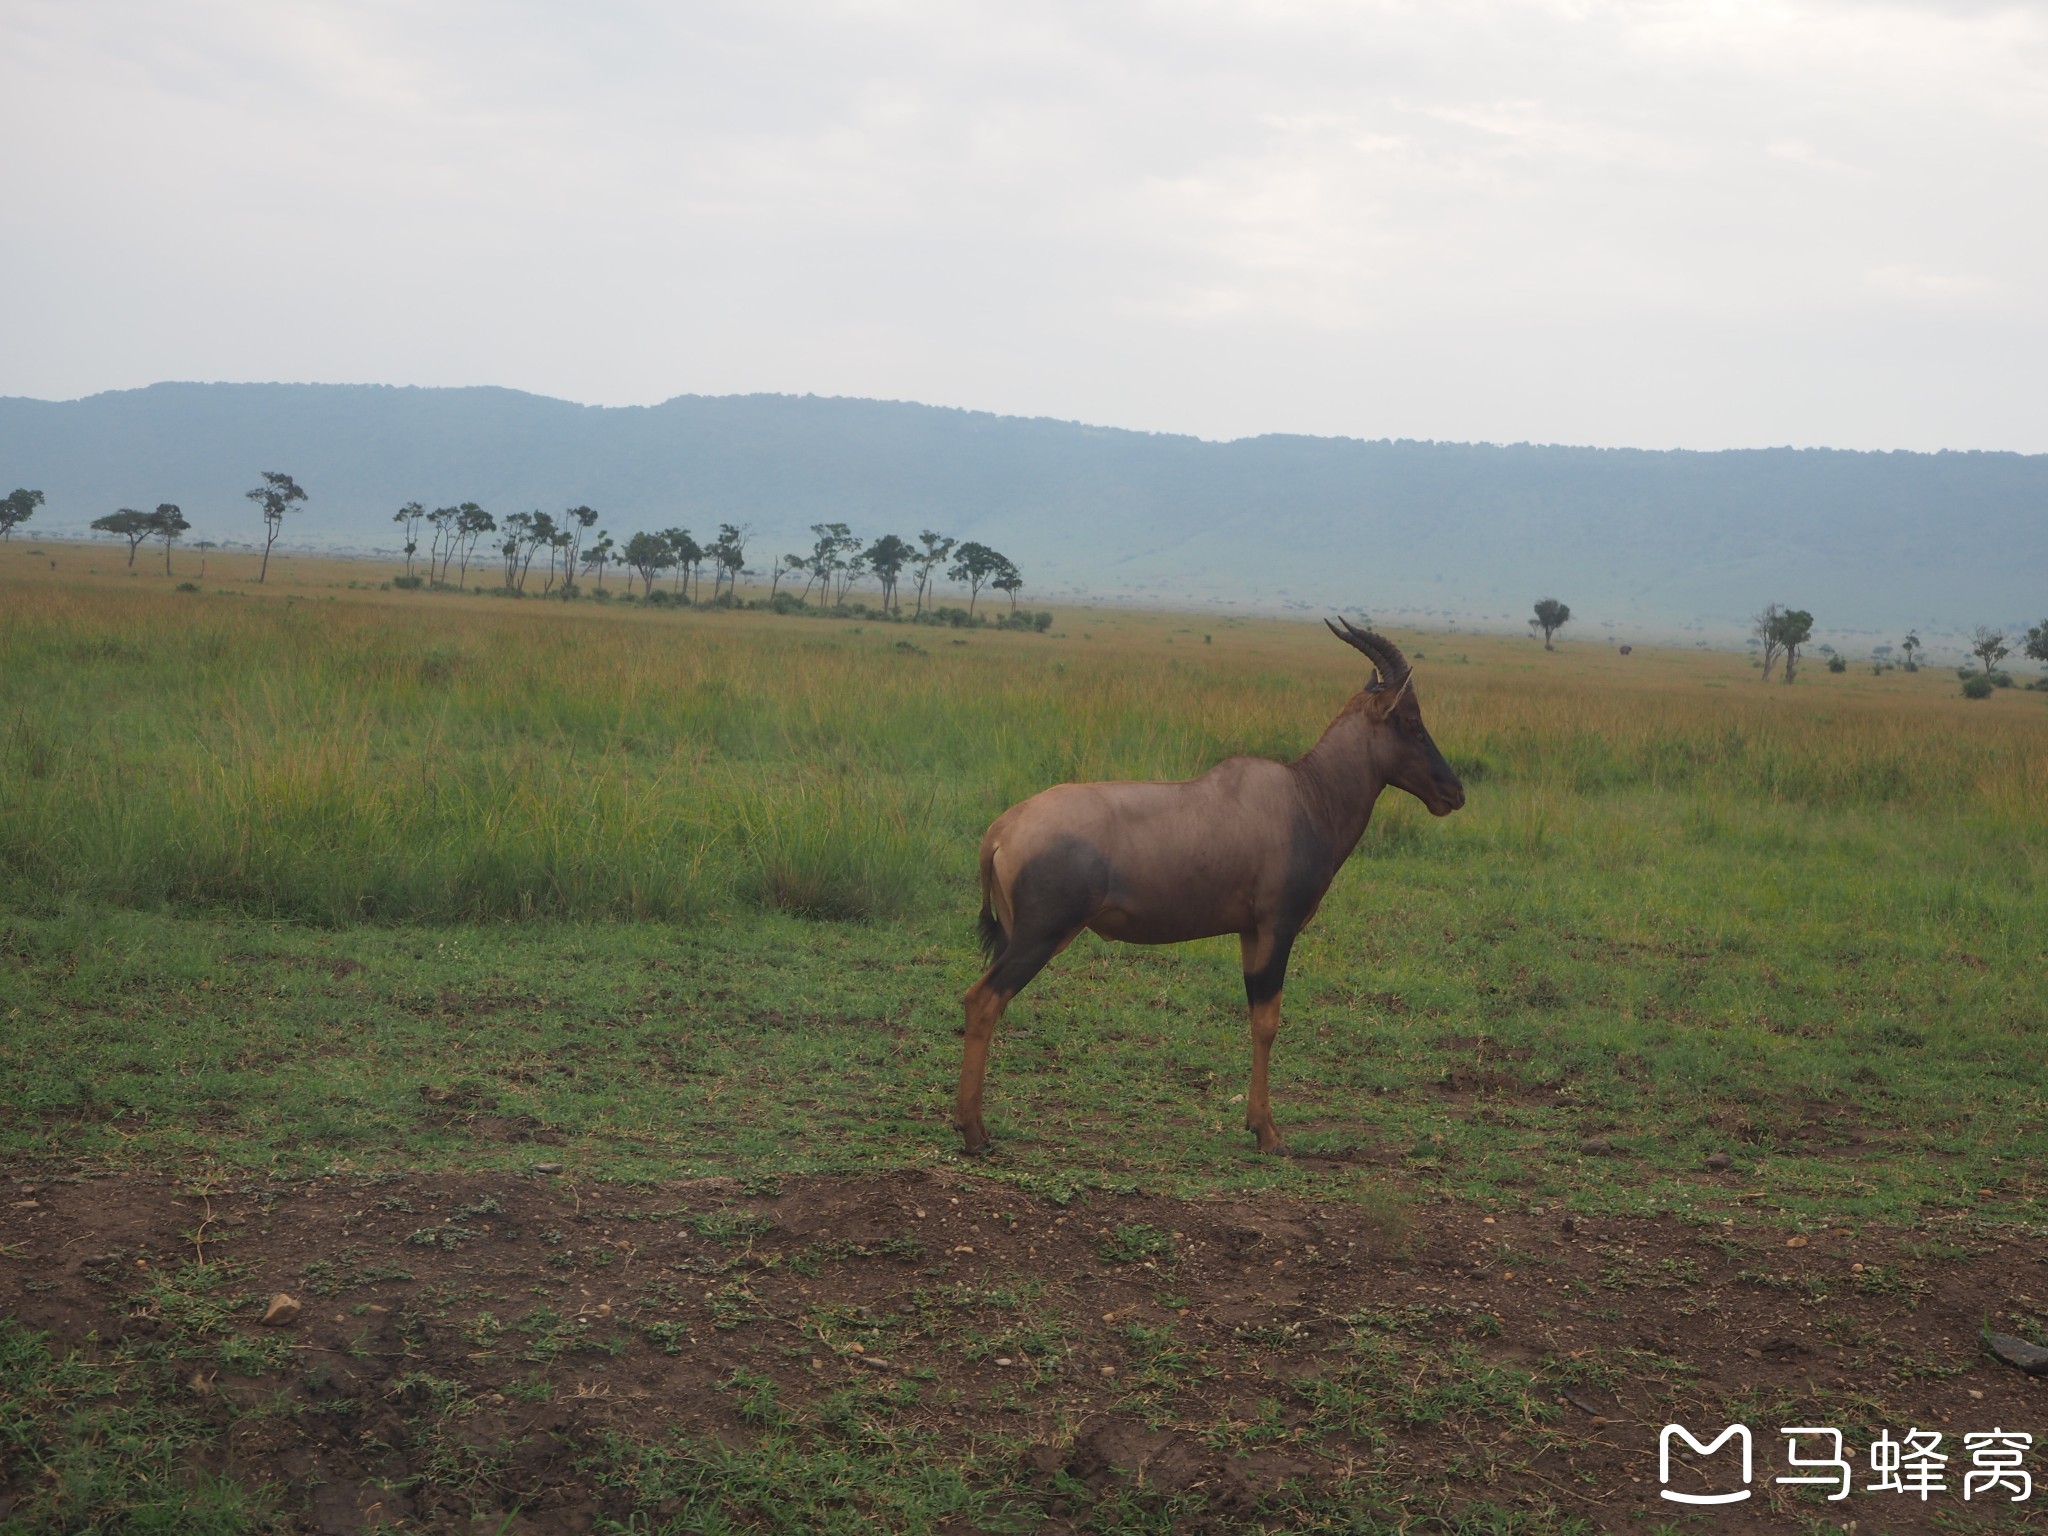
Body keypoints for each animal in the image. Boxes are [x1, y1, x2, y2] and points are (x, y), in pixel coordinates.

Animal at [950, 618, 1466, 1163]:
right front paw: (1269, 1134)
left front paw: (1257, 1125)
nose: (1453, 793)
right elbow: (1269, 1021)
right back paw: (974, 1131)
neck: (1302, 795)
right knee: (983, 1000)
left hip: (1013, 934)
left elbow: (1256, 1018)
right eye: (1410, 721)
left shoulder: (1249, 932)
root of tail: (1002, 830)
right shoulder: (1278, 926)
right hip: (1042, 935)